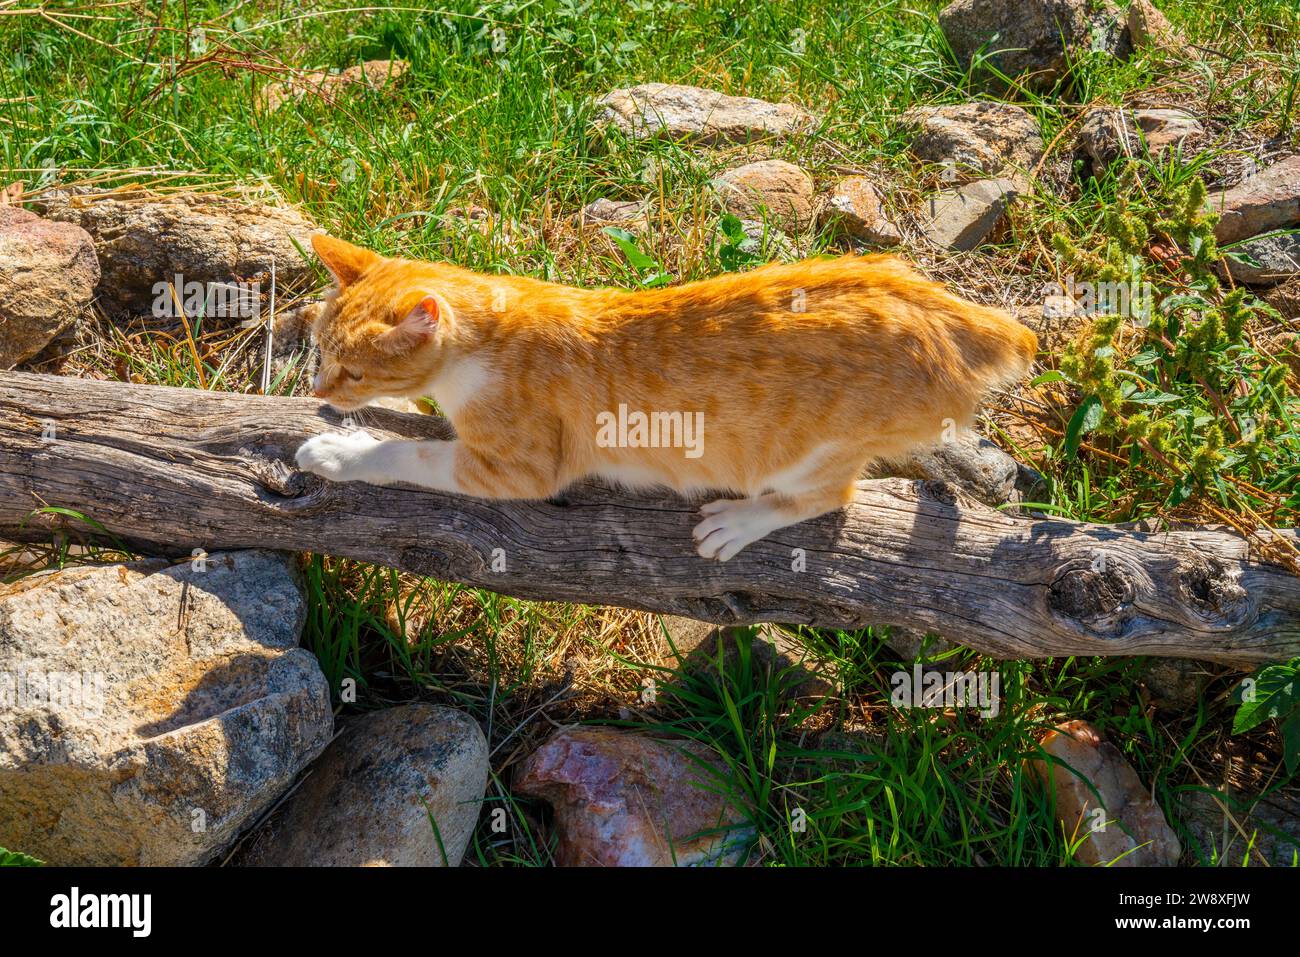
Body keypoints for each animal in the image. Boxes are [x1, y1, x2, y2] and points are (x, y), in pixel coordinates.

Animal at [295, 234, 1034, 561]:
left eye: (352, 371)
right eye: (321, 351)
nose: (319, 386)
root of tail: (947, 308)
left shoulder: (519, 467)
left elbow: (408, 453)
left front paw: (338, 449)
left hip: (811, 452)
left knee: (830, 496)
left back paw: (737, 522)